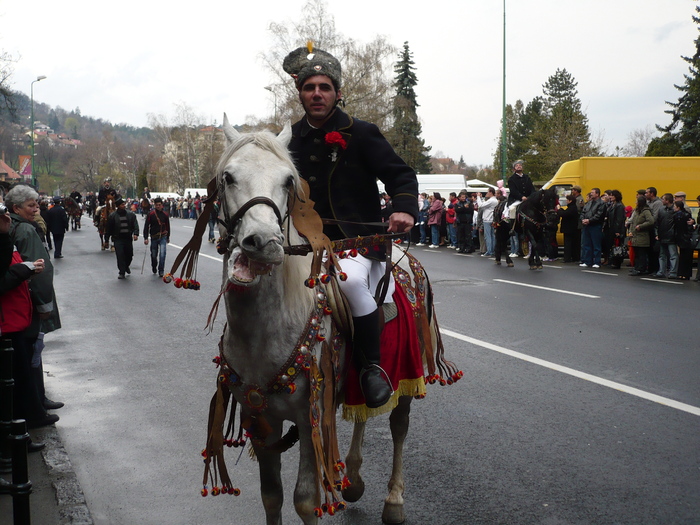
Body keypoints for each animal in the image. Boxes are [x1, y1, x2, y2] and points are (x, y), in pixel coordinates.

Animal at [178, 115, 456, 524]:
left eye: (288, 181)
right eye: (228, 177)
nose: (263, 242)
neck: (267, 330)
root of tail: (404, 256)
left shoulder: (310, 416)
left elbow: (305, 499)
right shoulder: (260, 417)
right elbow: (272, 496)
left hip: (409, 365)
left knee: (399, 425)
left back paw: (394, 500)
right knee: (363, 409)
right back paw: (353, 479)